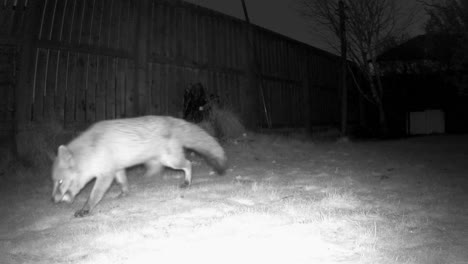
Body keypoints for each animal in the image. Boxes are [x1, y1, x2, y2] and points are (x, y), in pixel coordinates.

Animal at [51, 115, 227, 217]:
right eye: (53, 182)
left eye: (60, 182)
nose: (52, 200)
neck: (92, 150)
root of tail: (170, 119)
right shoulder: (117, 169)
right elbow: (123, 183)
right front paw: (124, 193)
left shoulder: (105, 174)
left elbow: (94, 196)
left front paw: (85, 210)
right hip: (158, 160)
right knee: (157, 169)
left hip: (171, 161)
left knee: (188, 164)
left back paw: (187, 182)